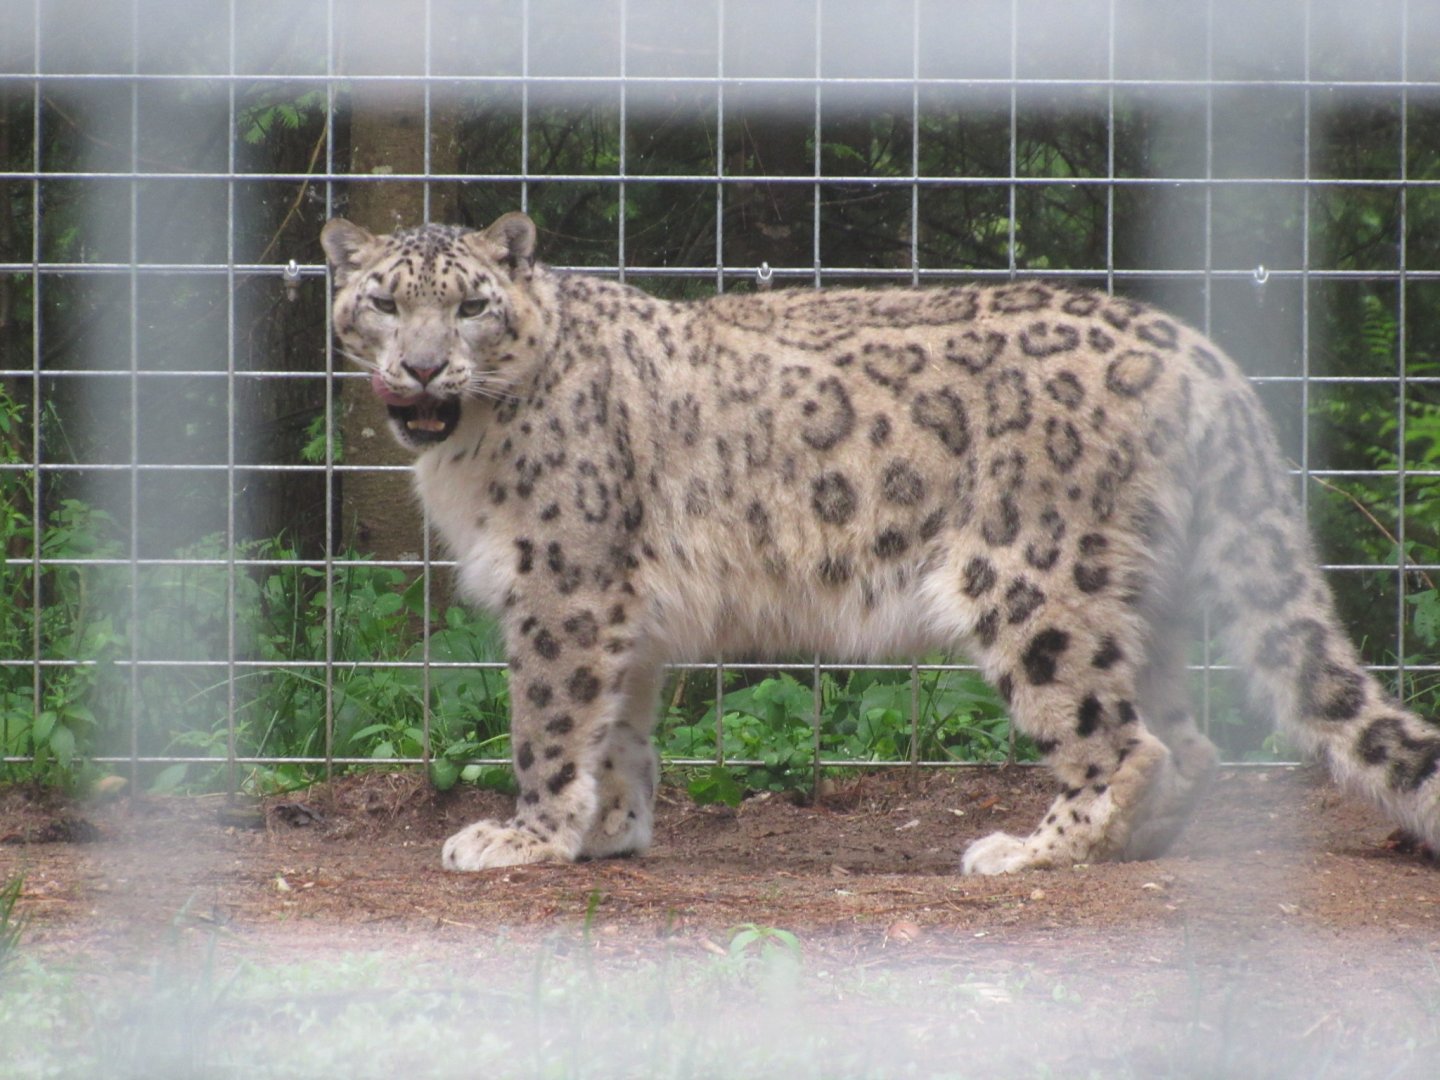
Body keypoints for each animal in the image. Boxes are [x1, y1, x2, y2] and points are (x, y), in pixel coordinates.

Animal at [321, 210, 1440, 875]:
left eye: (471, 305)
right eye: (384, 301)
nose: (422, 369)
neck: (463, 455)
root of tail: (1199, 352)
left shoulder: (565, 587)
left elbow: (549, 724)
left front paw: (525, 835)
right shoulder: (619, 610)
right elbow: (620, 731)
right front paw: (607, 833)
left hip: (1031, 581)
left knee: (1121, 736)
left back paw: (1030, 850)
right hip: (1136, 595)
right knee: (1187, 737)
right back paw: (1135, 844)